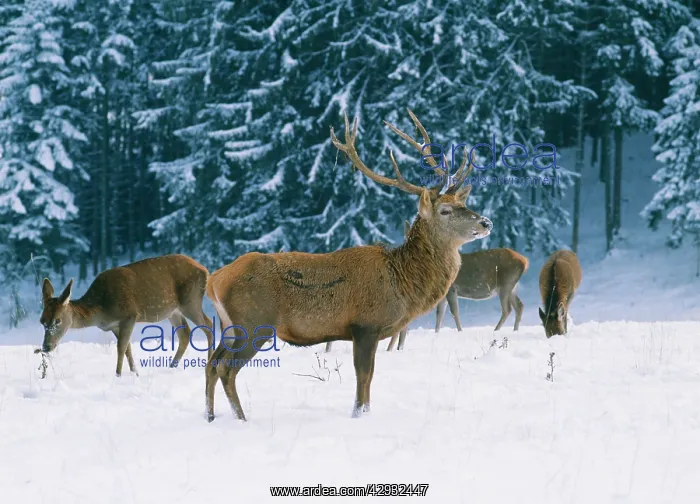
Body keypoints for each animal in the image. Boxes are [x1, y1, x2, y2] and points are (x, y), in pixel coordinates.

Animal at [38, 254, 214, 376]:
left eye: (58, 320)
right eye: (42, 321)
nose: (46, 347)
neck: (101, 310)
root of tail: (205, 270)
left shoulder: (129, 315)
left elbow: (121, 347)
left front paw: (118, 375)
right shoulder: (115, 326)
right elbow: (127, 348)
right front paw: (135, 373)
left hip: (191, 301)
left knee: (208, 325)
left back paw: (209, 363)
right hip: (173, 311)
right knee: (185, 333)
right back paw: (172, 366)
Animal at [204, 109, 493, 422]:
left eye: (463, 204)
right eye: (445, 210)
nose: (486, 222)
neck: (402, 282)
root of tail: (214, 280)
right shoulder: (365, 324)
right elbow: (364, 375)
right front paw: (359, 414)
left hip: (230, 326)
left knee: (211, 363)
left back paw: (210, 416)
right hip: (254, 322)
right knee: (226, 368)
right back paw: (241, 419)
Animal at [386, 221, 529, 351]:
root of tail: (525, 261)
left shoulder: (451, 289)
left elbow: (454, 312)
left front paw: (460, 332)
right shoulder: (443, 295)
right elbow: (439, 314)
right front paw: (436, 334)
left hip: (506, 283)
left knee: (507, 309)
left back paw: (496, 330)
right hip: (512, 286)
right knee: (520, 306)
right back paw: (514, 331)